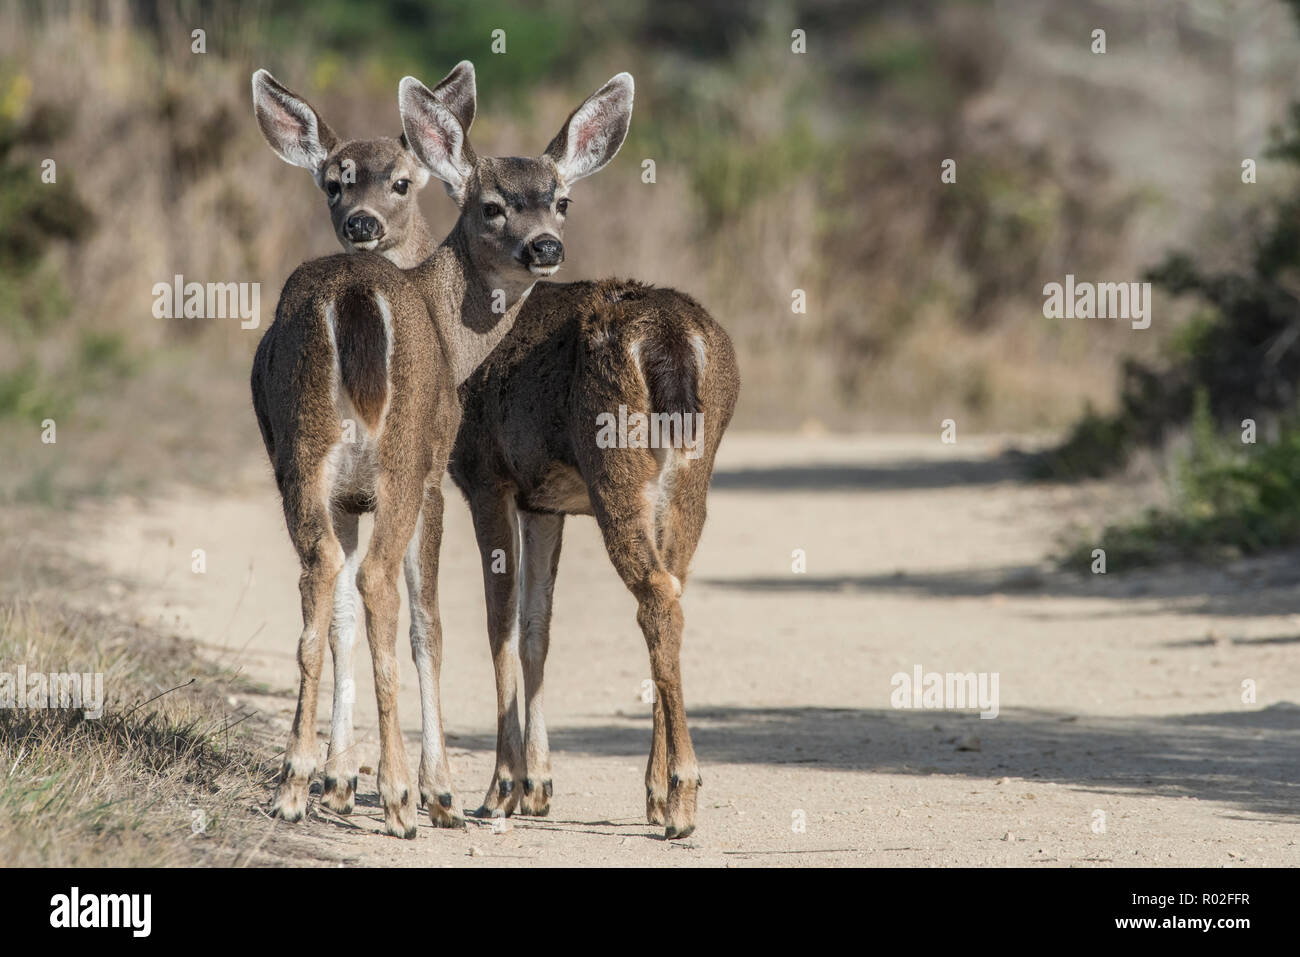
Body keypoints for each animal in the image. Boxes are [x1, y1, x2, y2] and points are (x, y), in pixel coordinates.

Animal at [254, 70, 738, 842]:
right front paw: (529, 784)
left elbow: (485, 619)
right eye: (491, 206)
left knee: (366, 581)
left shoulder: (475, 474)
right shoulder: (537, 495)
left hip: (535, 465)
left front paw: (485, 788)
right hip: (679, 476)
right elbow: (532, 625)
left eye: (562, 200)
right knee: (667, 592)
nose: (544, 246)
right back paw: (666, 795)